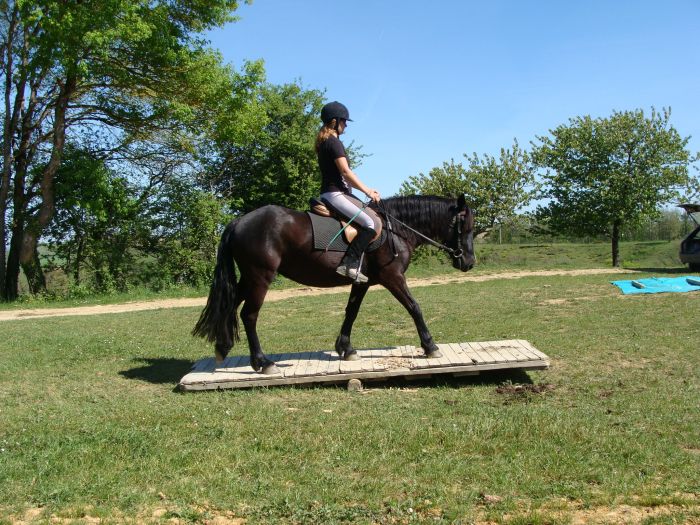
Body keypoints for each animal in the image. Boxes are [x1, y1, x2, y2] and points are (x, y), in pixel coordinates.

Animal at [191, 193, 476, 372]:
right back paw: (263, 362)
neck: (396, 229)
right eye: (467, 228)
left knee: (230, 305)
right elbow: (414, 307)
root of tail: (239, 221)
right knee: (249, 315)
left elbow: (351, 312)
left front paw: (345, 348)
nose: (469, 262)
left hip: (248, 279)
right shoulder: (392, 277)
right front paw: (430, 346)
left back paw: (223, 347)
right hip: (260, 277)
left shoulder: (362, 282)